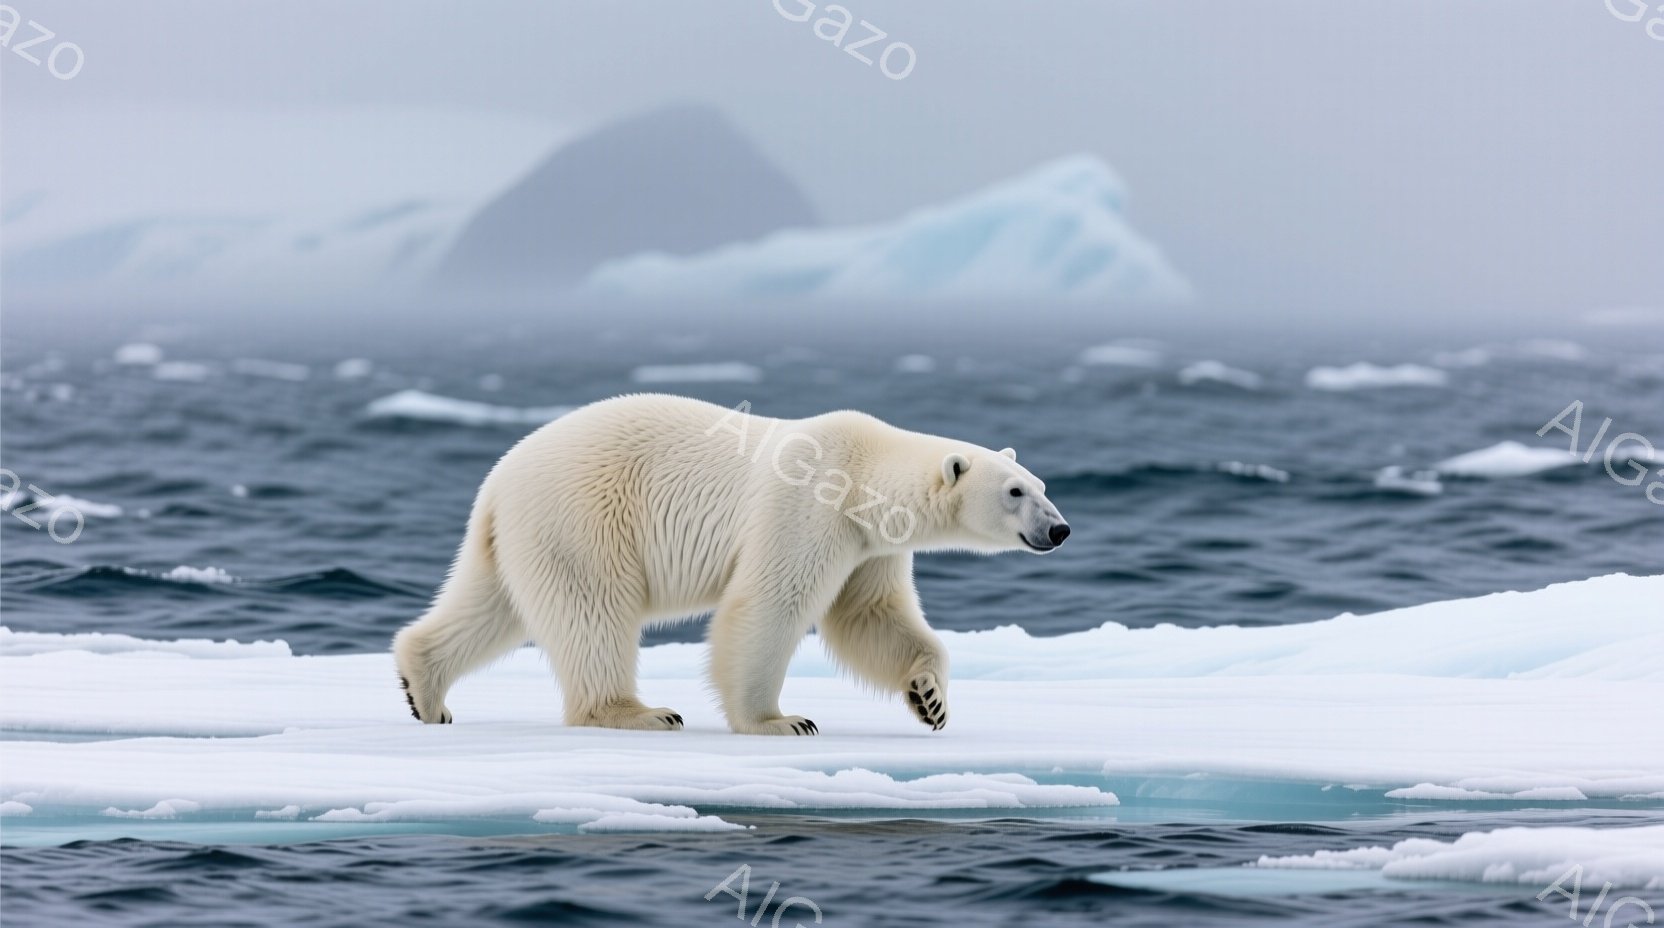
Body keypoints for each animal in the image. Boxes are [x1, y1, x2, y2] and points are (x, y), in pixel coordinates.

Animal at [392, 393, 1070, 735]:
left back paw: (424, 691)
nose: (1059, 529)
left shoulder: (868, 546)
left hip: (523, 535)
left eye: (1041, 484)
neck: (862, 473)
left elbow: (870, 616)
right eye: (1015, 492)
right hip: (585, 516)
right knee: (594, 611)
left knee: (491, 605)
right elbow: (770, 605)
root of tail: (498, 480)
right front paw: (780, 721)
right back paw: (640, 712)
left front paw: (930, 700)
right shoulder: (809, 509)